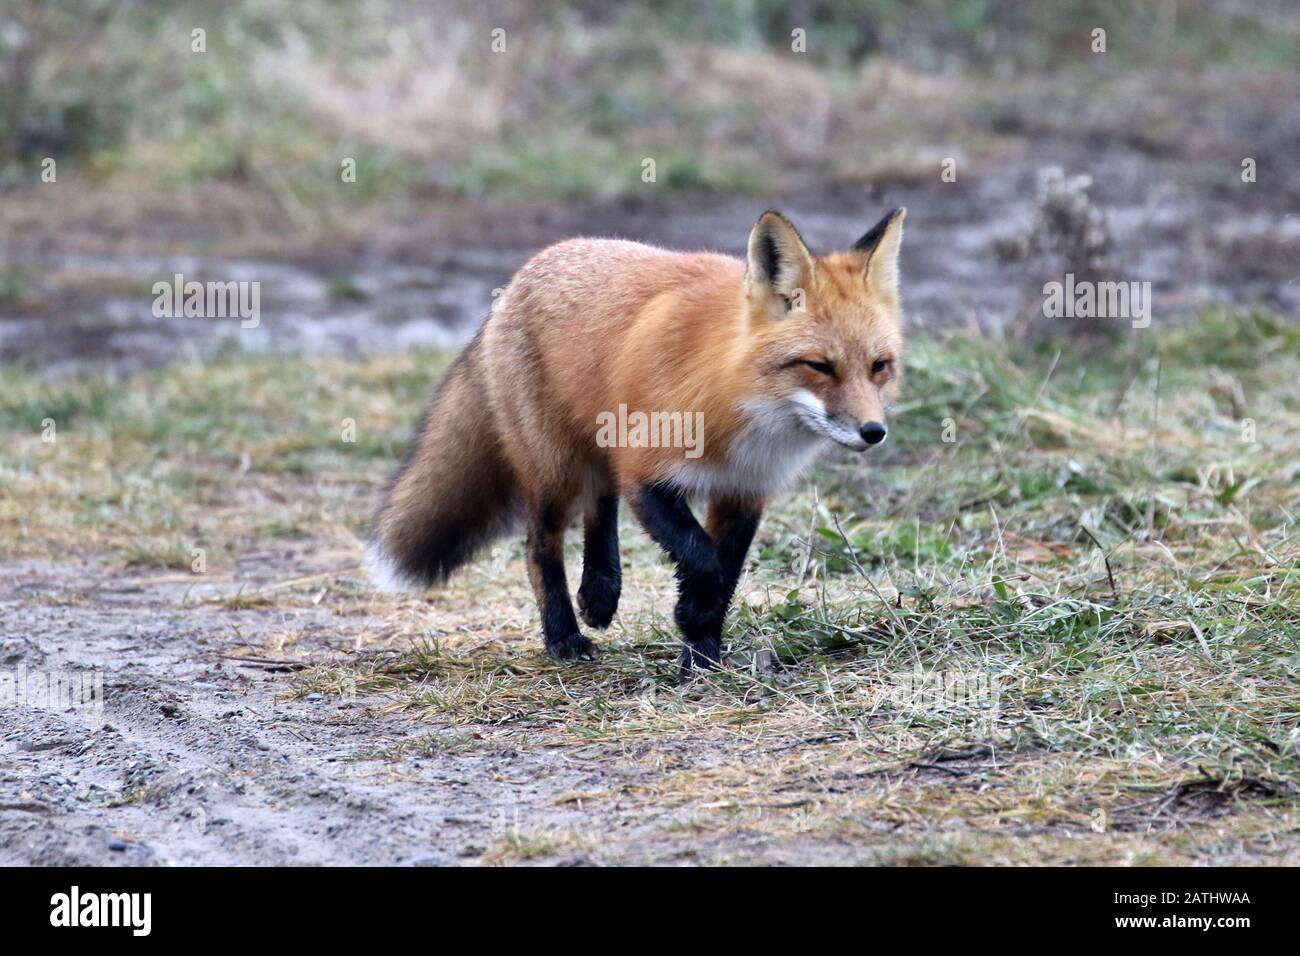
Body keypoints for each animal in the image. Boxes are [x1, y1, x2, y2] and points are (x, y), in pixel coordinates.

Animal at [369, 208, 904, 681]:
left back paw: (600, 591)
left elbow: (725, 572)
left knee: (600, 505)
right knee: (540, 546)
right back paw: (564, 636)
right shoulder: (648, 474)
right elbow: (702, 558)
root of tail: (529, 268)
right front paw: (692, 615)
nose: (873, 432)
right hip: (555, 469)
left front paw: (701, 656)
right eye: (819, 366)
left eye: (879, 366)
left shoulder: (744, 492)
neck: (738, 401)